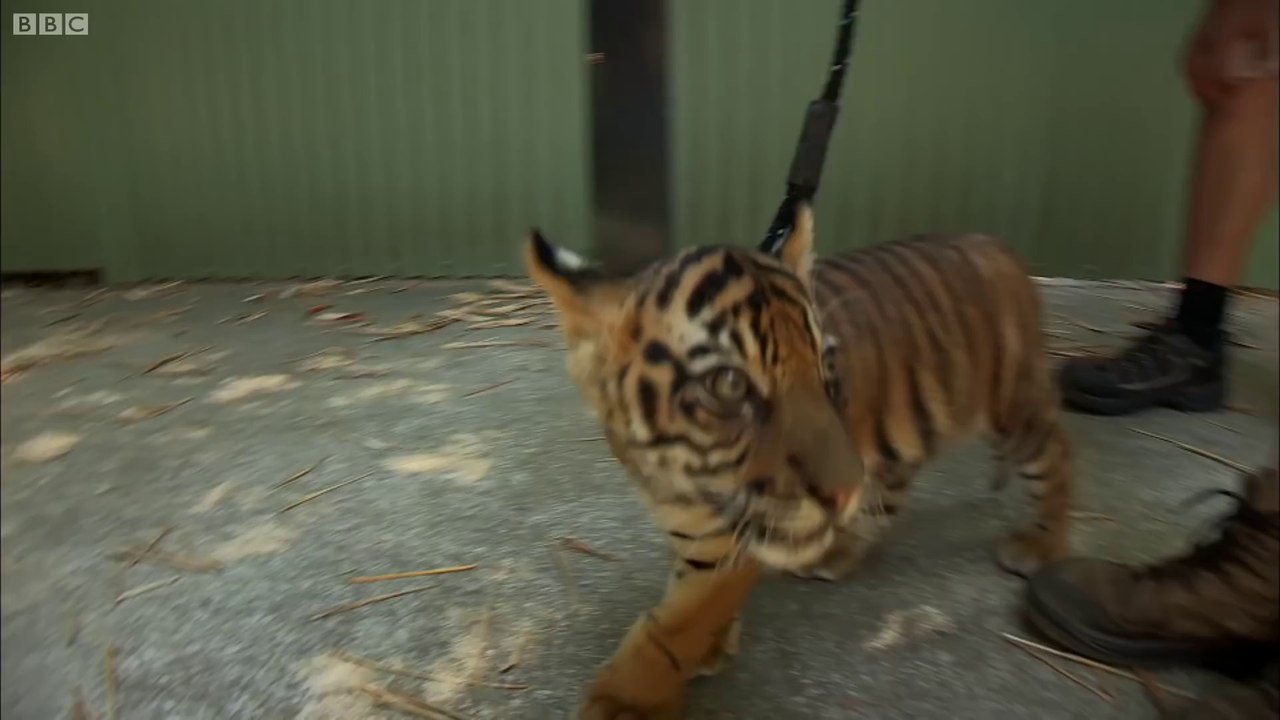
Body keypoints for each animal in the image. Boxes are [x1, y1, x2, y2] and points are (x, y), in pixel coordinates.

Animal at [525, 202, 1073, 719]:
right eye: (729, 384)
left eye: (825, 364)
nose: (843, 492)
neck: (672, 477)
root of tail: (995, 243)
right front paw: (713, 647)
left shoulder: (737, 535)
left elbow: (679, 624)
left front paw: (629, 700)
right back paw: (840, 552)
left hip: (1015, 408)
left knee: (1058, 458)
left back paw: (1040, 544)